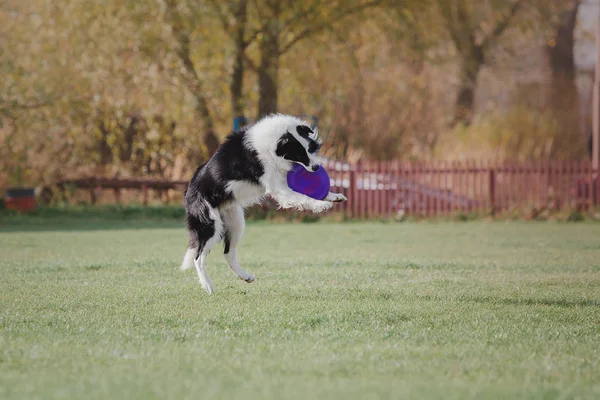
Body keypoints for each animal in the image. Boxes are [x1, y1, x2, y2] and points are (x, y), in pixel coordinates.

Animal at [180, 112, 344, 294]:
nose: (316, 168)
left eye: (309, 149)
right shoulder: (279, 189)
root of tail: (189, 190)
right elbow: (304, 197)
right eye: (299, 155)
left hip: (236, 222)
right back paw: (208, 285)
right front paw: (320, 205)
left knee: (228, 253)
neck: (275, 141)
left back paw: (245, 276)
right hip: (210, 224)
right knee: (198, 257)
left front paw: (334, 196)